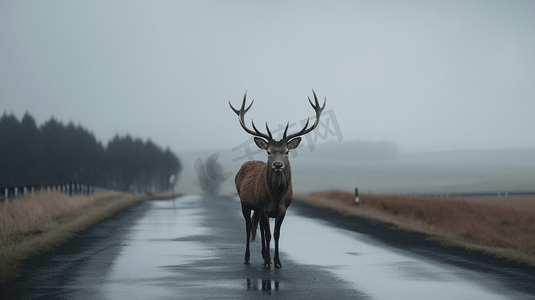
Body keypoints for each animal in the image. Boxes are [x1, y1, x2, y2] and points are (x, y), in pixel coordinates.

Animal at [228, 89, 324, 270]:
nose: (278, 164)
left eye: (286, 151)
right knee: (248, 226)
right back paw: (248, 257)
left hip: (256, 208)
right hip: (244, 201)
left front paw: (277, 262)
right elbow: (268, 234)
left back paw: (264, 255)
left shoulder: (283, 209)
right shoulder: (263, 207)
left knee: (258, 226)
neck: (277, 196)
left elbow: (276, 234)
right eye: (269, 152)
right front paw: (267, 262)